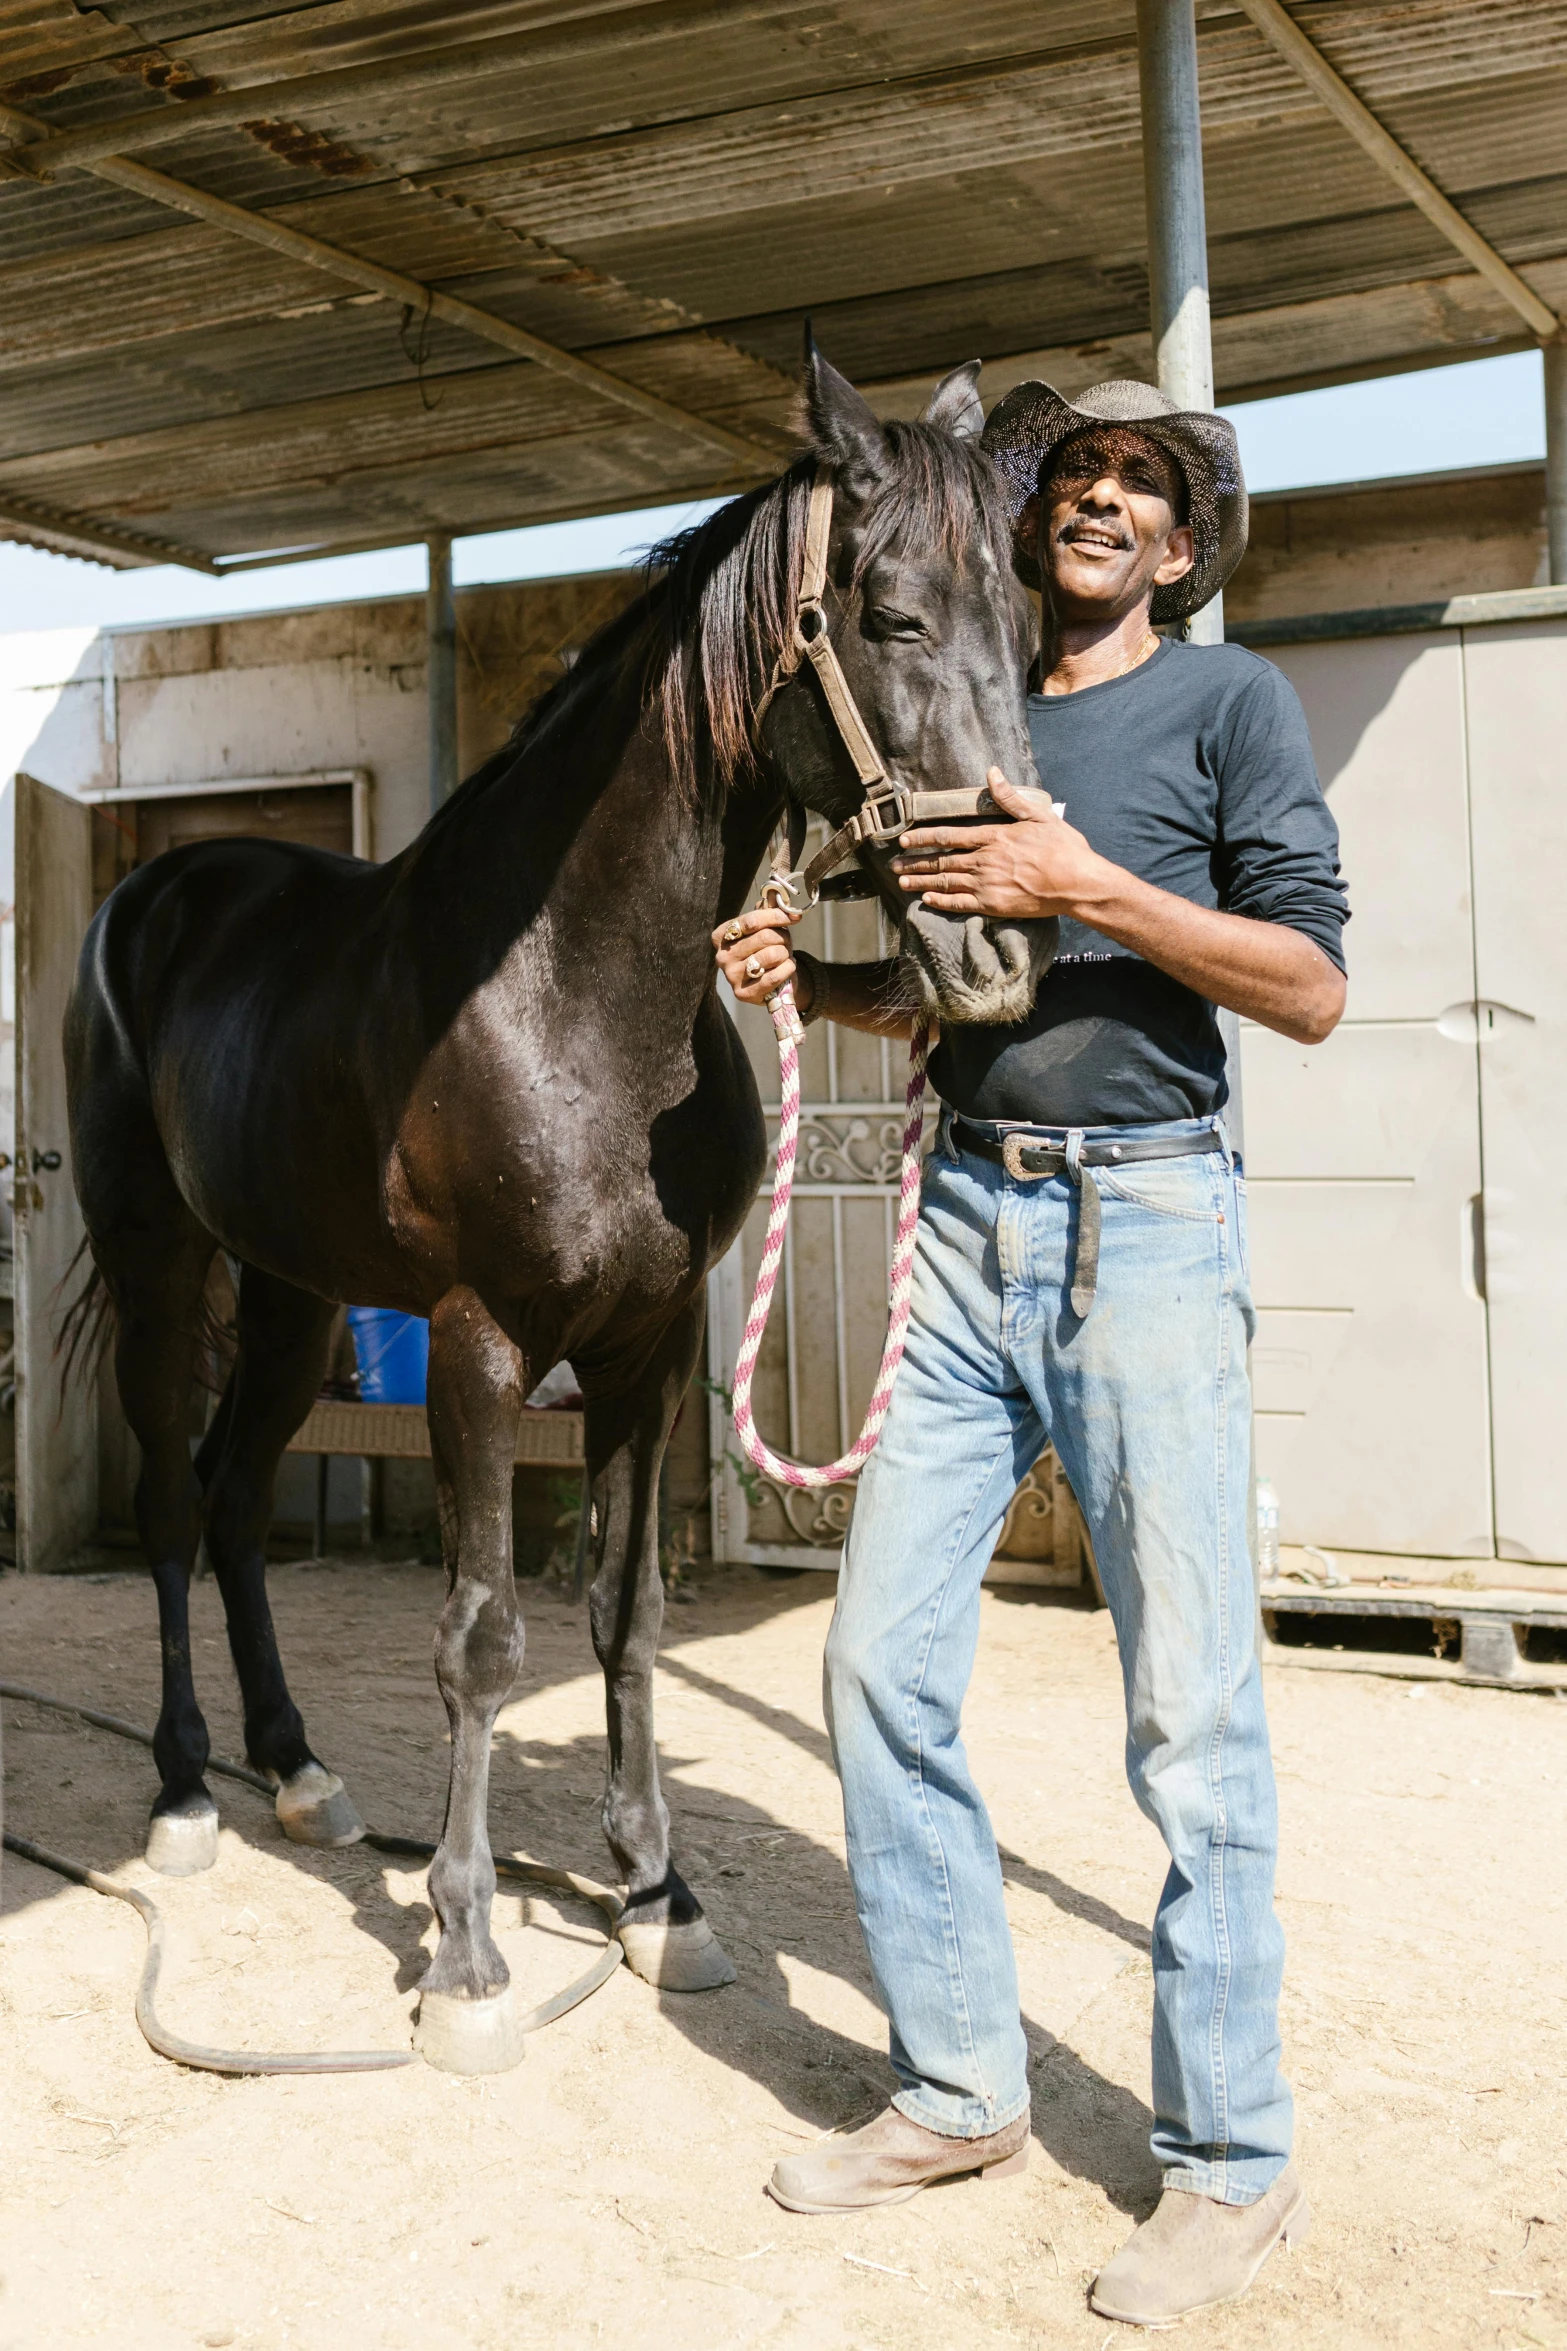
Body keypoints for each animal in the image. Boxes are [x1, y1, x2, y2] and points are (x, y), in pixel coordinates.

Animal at [64, 347, 1052, 2078]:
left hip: (295, 1288)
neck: (574, 987)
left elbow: (626, 1613)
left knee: (241, 1497)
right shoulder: (483, 1344)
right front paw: (465, 1957)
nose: (994, 951)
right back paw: (187, 1791)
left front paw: (660, 1901)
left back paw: (300, 1773)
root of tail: (155, 889)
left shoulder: (645, 1348)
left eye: (1017, 610)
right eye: (892, 615)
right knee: (179, 1505)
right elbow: (480, 1635)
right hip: (162, 1260)